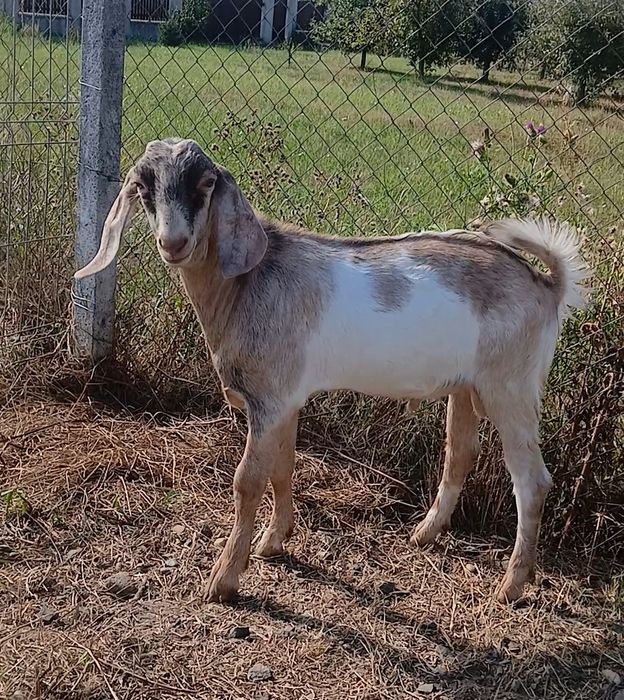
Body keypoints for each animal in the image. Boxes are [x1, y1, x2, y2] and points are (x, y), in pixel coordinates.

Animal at [75, 138, 589, 604]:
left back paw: (511, 586)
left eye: (204, 184)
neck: (246, 285)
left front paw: (223, 580)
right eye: (143, 187)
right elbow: (283, 466)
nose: (174, 242)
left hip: (511, 387)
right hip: (467, 386)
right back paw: (424, 534)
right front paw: (274, 542)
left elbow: (247, 481)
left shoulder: (270, 400)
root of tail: (548, 284)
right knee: (461, 452)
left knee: (531, 481)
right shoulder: (285, 400)